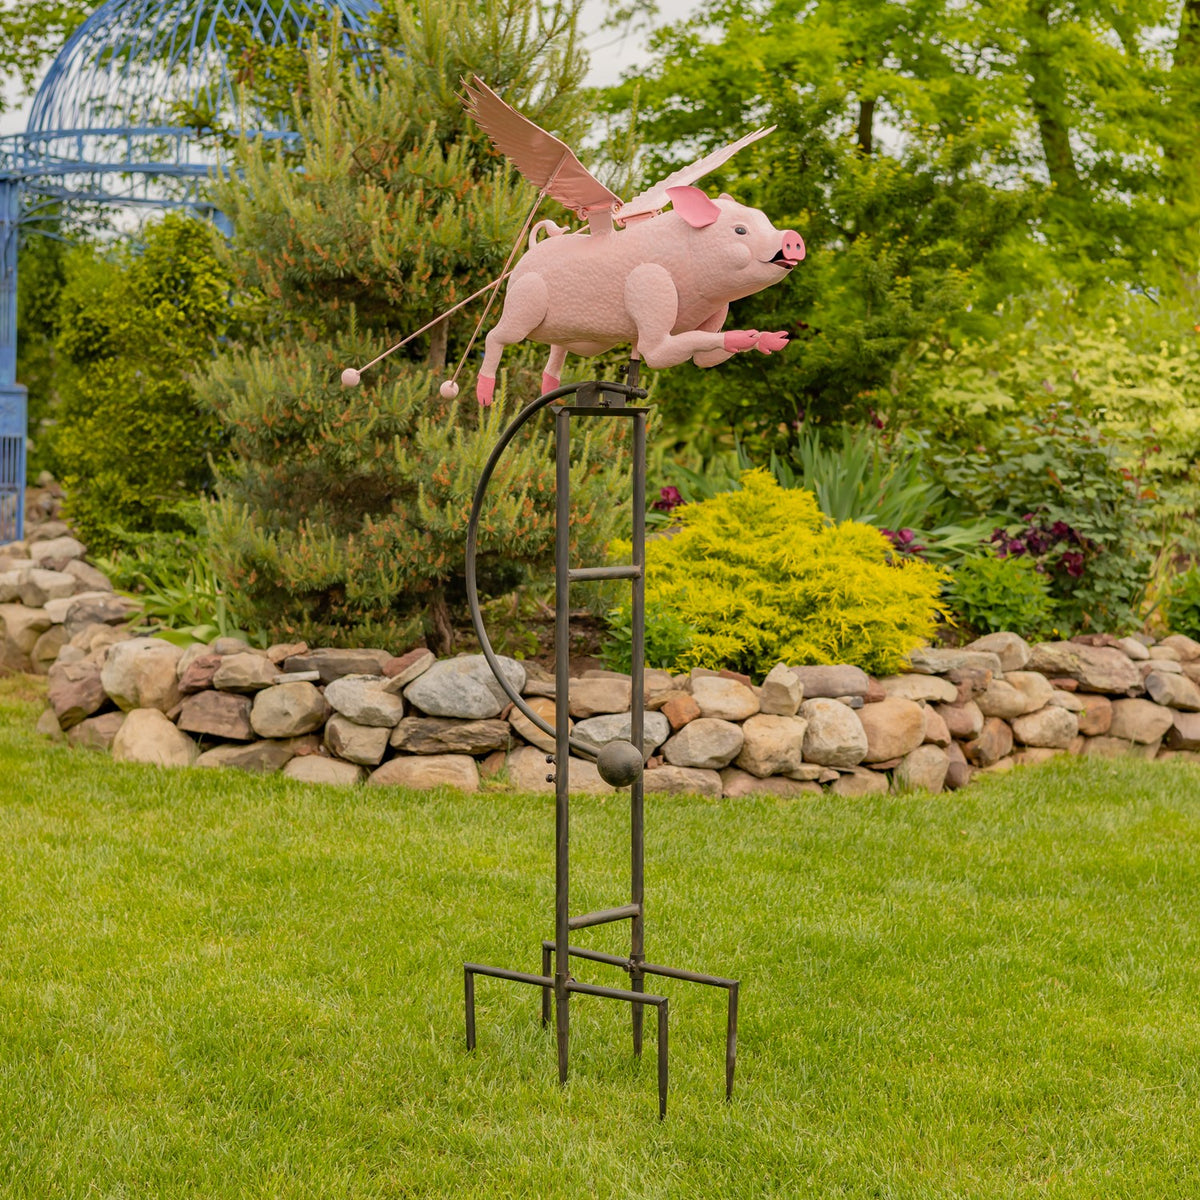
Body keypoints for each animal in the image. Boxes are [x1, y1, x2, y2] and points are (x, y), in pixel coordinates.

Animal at [474, 185, 805, 405]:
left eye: (767, 221)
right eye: (740, 231)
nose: (792, 237)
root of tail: (529, 253)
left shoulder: (718, 309)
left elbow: (704, 360)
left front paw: (772, 339)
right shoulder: (649, 284)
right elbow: (654, 352)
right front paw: (745, 335)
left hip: (564, 332)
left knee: (556, 352)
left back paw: (553, 396)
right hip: (524, 301)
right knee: (495, 336)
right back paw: (486, 398)